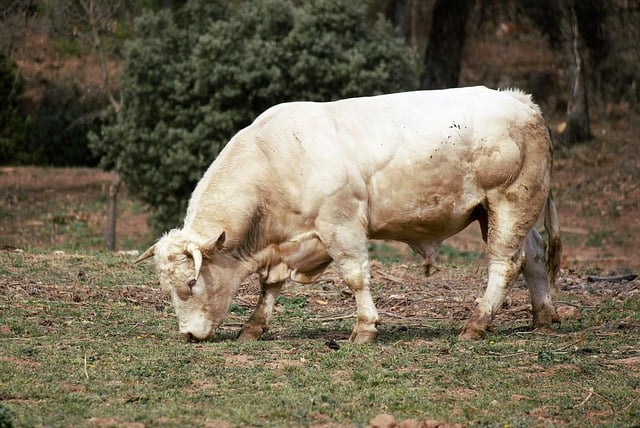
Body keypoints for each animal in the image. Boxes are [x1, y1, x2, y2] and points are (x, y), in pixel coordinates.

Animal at [135, 85, 560, 342]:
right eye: (166, 287)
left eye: (191, 283)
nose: (188, 335)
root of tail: (519, 100)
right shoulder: (285, 244)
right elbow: (269, 285)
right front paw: (253, 329)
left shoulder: (340, 224)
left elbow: (355, 277)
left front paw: (365, 329)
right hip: (499, 212)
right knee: (534, 256)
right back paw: (543, 319)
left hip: (510, 202)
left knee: (505, 263)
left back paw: (476, 324)